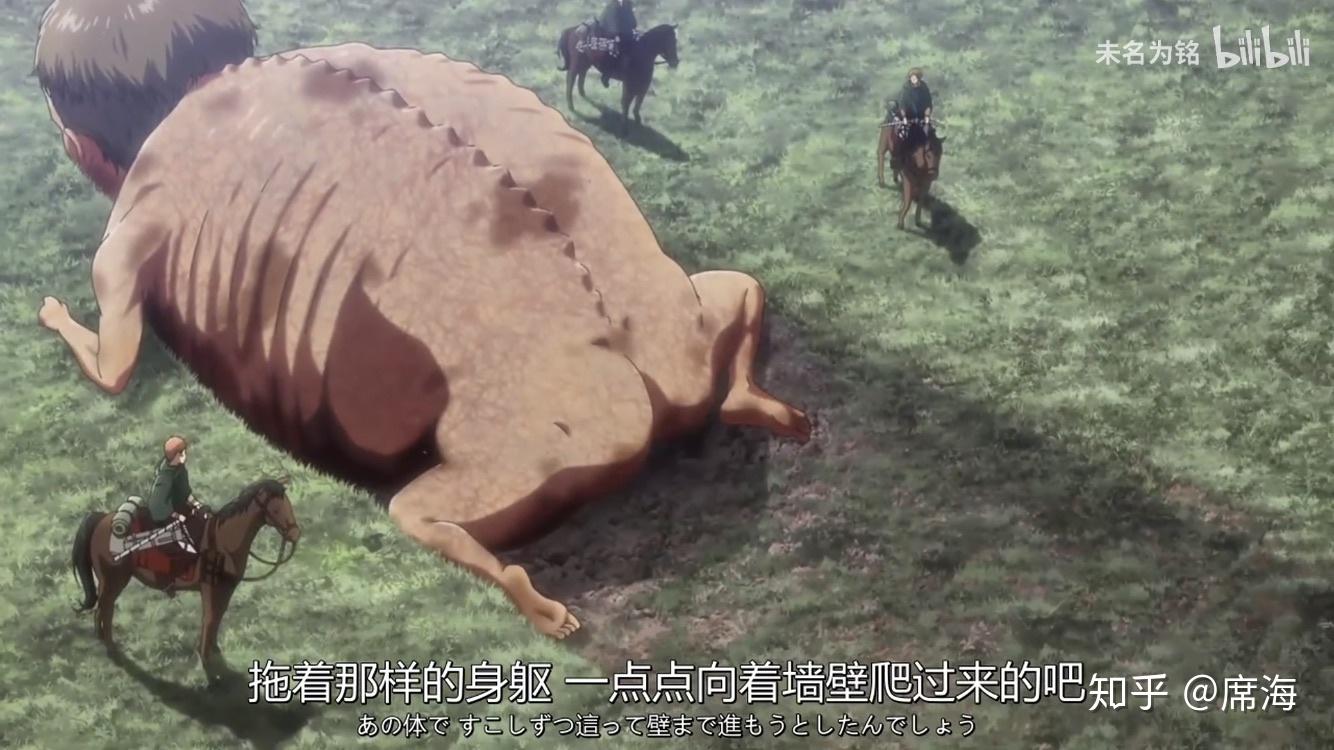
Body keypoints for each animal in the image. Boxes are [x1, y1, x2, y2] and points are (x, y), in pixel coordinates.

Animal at [70, 476, 300, 681]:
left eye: (289, 505)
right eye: (276, 509)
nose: (296, 535)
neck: (224, 540)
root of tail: (101, 519)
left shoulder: (225, 590)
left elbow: (216, 618)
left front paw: (214, 650)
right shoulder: (211, 590)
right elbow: (210, 618)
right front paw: (207, 661)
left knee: (101, 609)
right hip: (114, 581)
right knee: (106, 609)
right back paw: (111, 647)